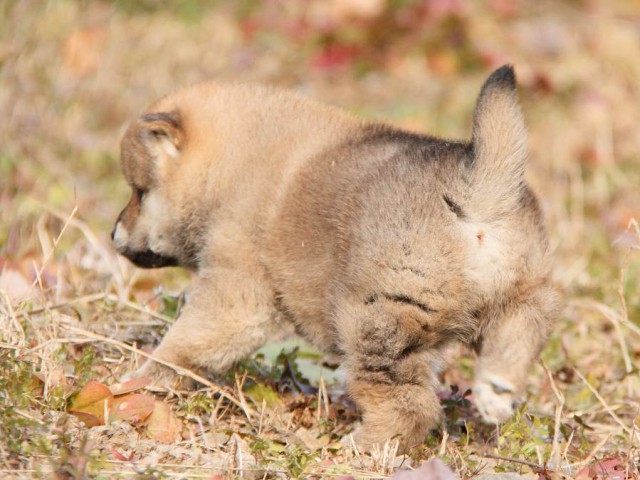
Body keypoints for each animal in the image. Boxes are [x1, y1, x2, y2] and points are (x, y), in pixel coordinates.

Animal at [112, 66, 556, 450]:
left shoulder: (236, 292)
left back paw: (359, 448)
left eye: (138, 193)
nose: (114, 234)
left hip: (375, 322)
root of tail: (475, 193)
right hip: (522, 298)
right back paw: (495, 391)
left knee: (409, 408)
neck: (225, 171)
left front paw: (142, 379)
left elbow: (186, 343)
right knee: (516, 342)